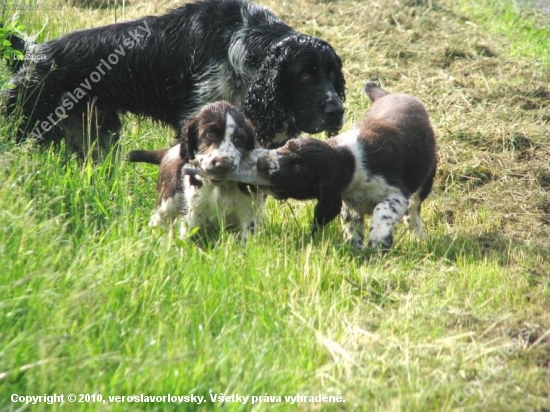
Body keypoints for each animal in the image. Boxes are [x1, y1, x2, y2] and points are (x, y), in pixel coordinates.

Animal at [130, 100, 268, 241]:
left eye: (238, 140)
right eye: (210, 135)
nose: (223, 165)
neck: (220, 188)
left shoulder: (249, 212)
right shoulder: (193, 213)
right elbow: (187, 238)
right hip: (169, 198)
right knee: (158, 219)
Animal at [244, 82, 438, 249]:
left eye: (298, 166)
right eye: (287, 144)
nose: (261, 162)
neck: (350, 160)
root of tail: (390, 94)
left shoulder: (396, 193)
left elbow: (382, 210)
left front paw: (378, 238)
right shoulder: (348, 205)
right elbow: (353, 229)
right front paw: (355, 250)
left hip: (426, 178)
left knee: (413, 209)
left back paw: (418, 236)